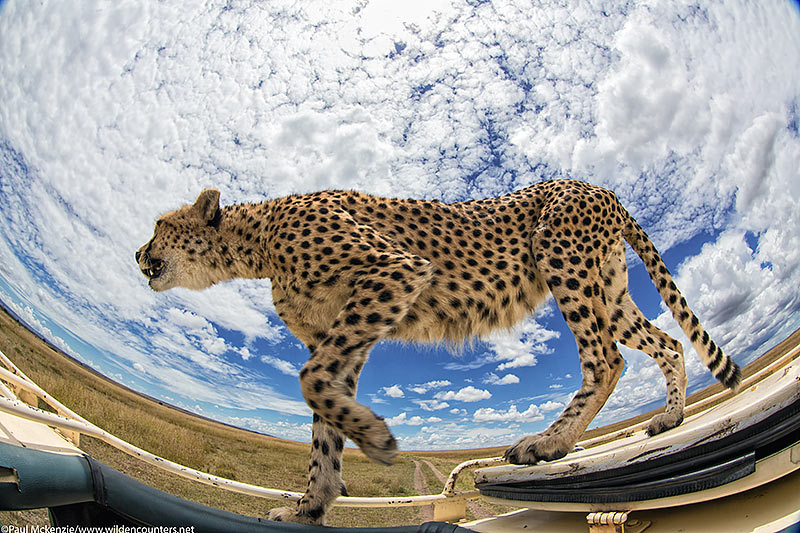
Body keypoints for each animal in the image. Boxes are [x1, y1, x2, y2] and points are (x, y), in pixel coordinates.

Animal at [136, 180, 736, 524]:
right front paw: (311, 504)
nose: (138, 253)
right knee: (666, 342)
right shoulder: (338, 332)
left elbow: (310, 381)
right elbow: (324, 416)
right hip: (607, 289)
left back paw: (549, 443)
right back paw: (670, 416)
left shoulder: (395, 271)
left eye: (160, 226)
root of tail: (594, 184)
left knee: (607, 359)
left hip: (561, 258)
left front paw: (376, 440)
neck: (256, 242)